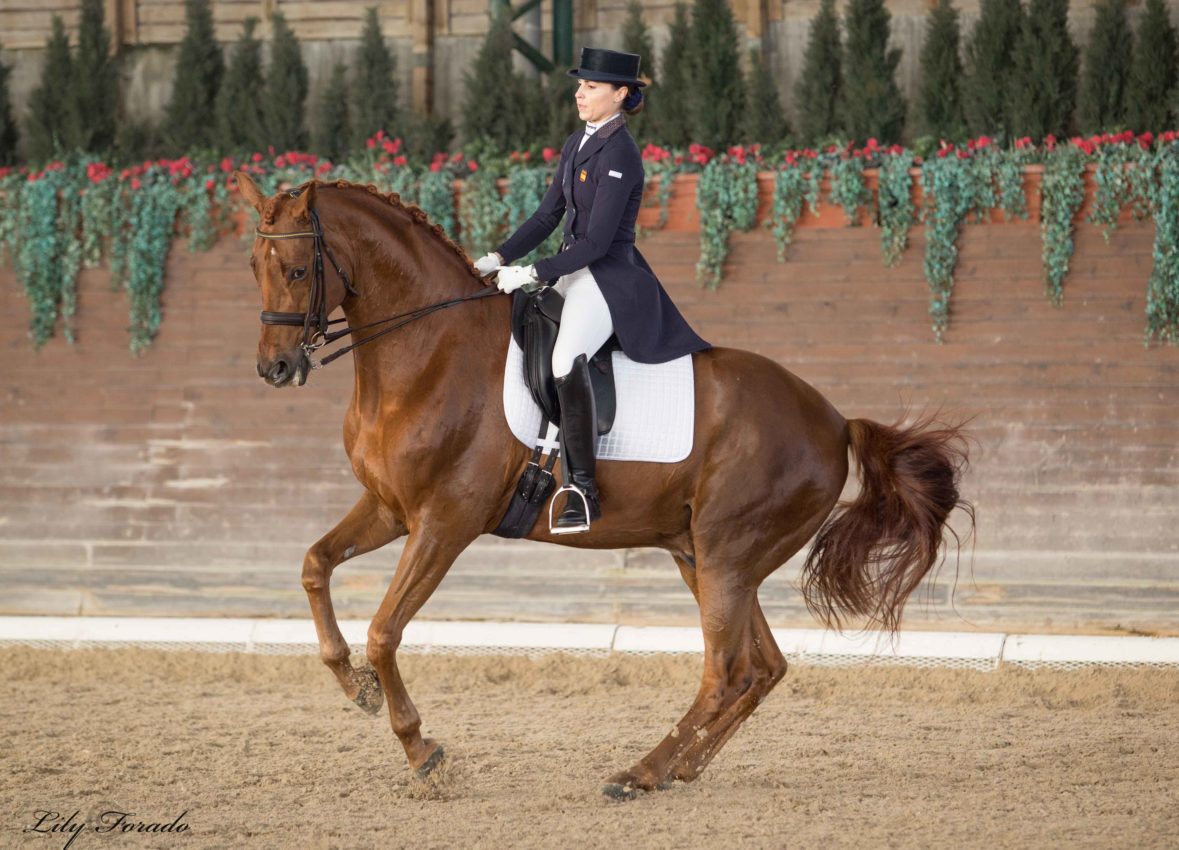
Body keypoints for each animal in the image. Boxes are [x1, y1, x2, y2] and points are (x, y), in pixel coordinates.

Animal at [234, 170, 971, 796]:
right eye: (253, 268)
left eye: (296, 269)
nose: (274, 368)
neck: (428, 351)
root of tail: (834, 420)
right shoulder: (390, 508)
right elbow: (314, 566)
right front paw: (353, 685)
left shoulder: (445, 522)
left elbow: (385, 631)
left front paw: (423, 752)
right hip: (704, 555)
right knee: (760, 669)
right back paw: (679, 768)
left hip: (727, 553)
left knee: (723, 672)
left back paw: (639, 773)